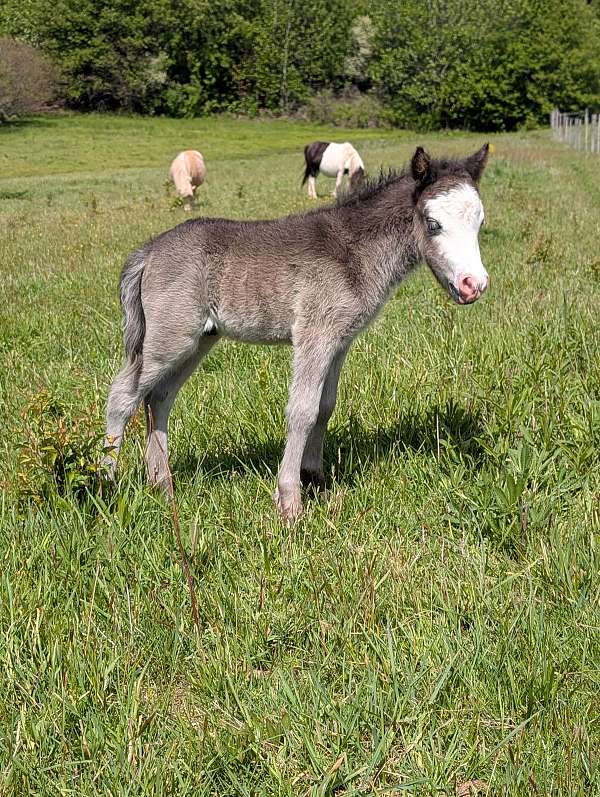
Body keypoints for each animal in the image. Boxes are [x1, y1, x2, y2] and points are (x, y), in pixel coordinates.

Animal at [102, 144, 490, 522]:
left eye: (480, 221)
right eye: (433, 223)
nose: (473, 285)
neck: (352, 251)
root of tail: (148, 251)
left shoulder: (339, 341)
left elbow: (325, 405)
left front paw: (316, 479)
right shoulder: (314, 335)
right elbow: (302, 410)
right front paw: (290, 501)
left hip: (198, 340)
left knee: (159, 397)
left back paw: (161, 485)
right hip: (170, 338)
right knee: (123, 396)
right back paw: (105, 483)